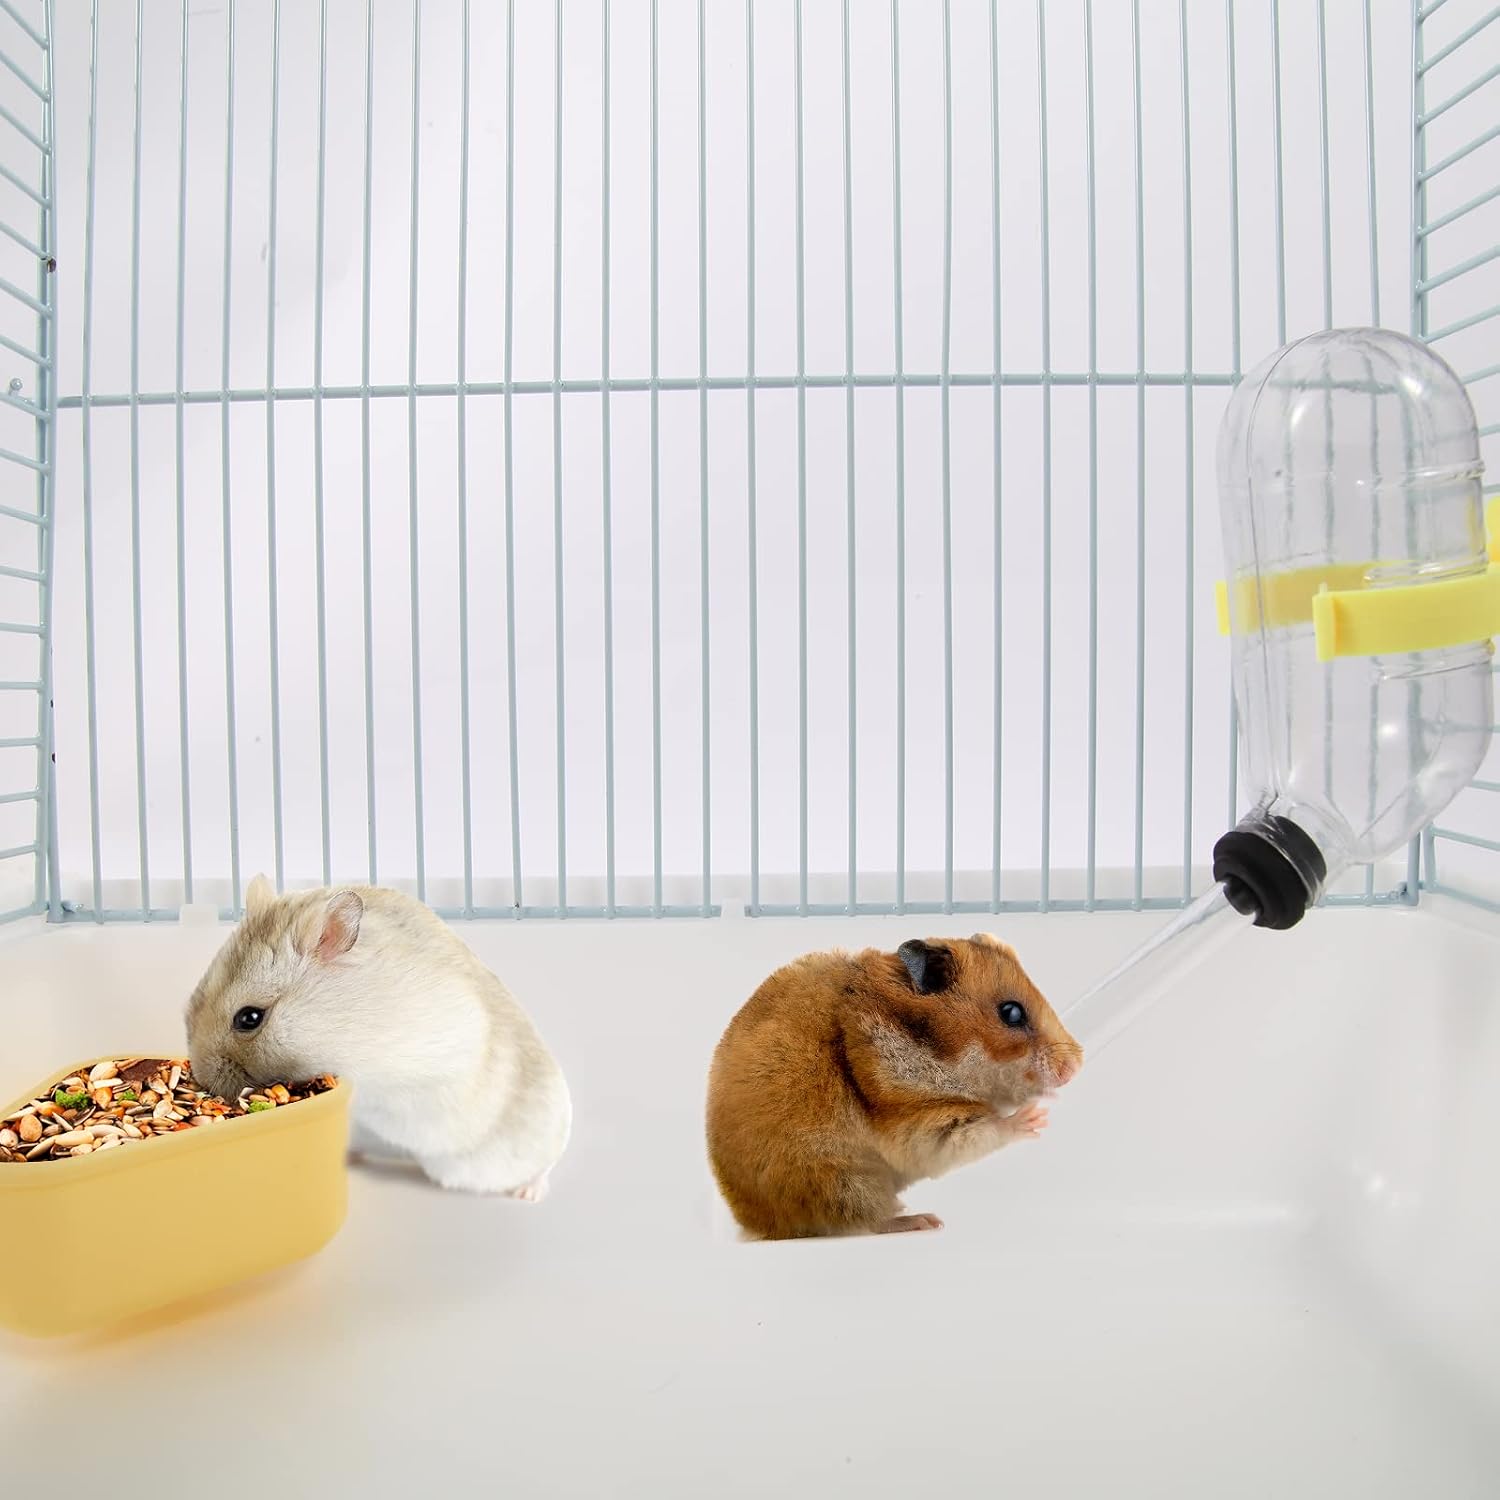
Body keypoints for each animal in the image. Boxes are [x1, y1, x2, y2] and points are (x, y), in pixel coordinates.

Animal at [705, 933, 1082, 1239]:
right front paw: (1033, 1118)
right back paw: (922, 1220)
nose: (1075, 1068)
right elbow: (980, 1132)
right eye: (1011, 1013)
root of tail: (755, 1221)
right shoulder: (916, 1123)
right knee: (866, 1220)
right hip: (841, 1181)